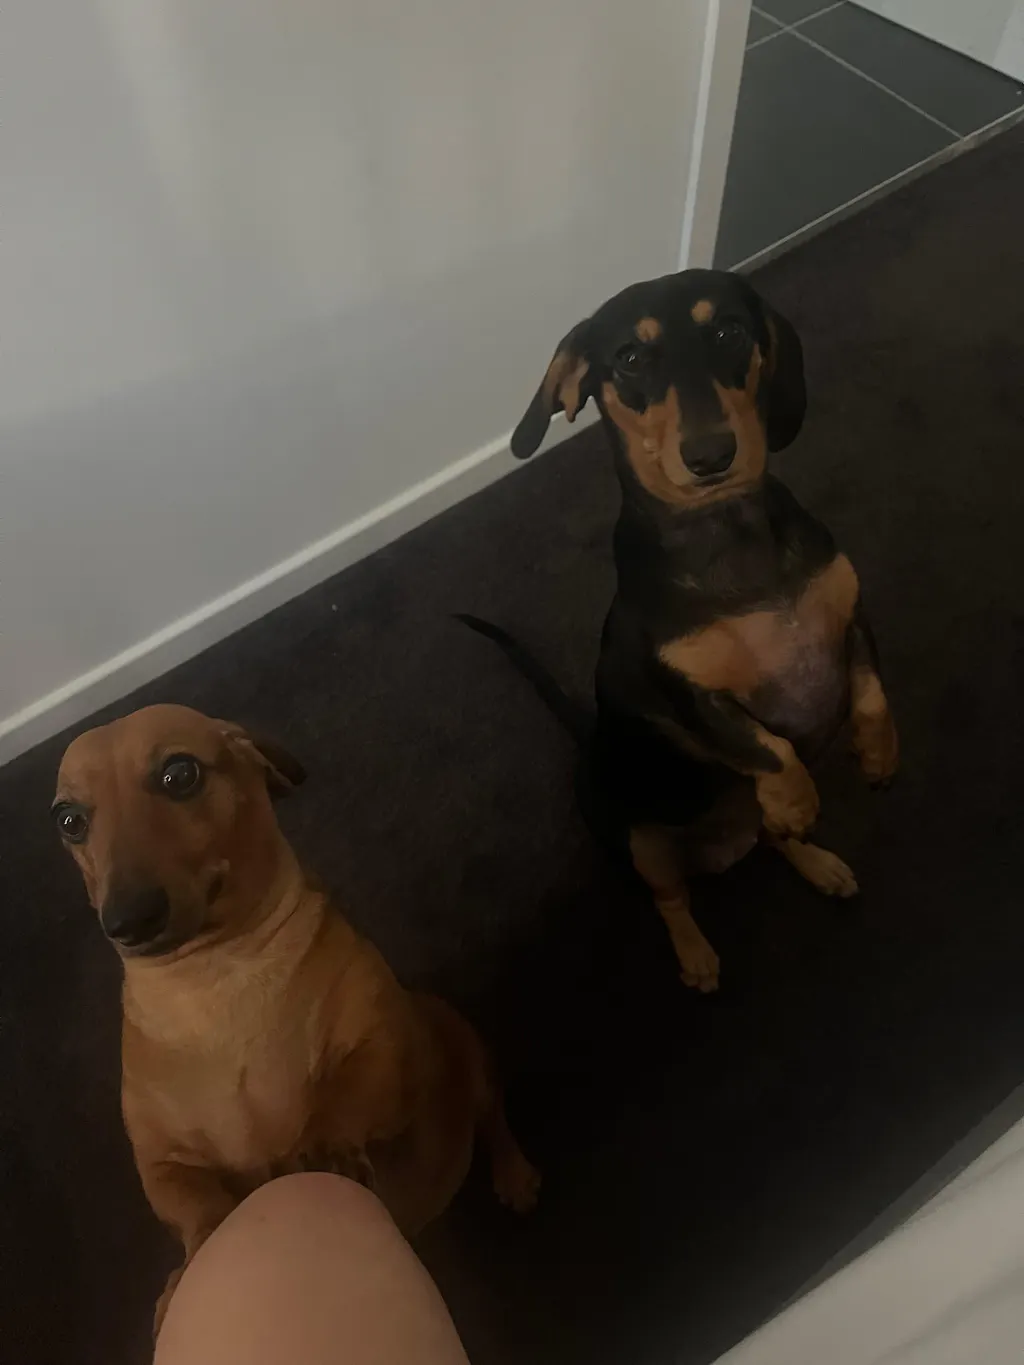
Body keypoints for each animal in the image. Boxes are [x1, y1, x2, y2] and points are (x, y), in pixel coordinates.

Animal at [53, 705, 539, 1331]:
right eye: (69, 820)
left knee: (495, 1120)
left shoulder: (383, 1050)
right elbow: (196, 1206)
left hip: (471, 1058)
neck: (213, 983)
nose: (127, 920)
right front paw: (193, 1264)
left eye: (179, 774)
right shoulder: (164, 1162)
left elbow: (347, 1093)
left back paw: (516, 1176)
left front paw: (323, 1144)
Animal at [462, 268, 898, 993]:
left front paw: (877, 756)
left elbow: (871, 694)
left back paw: (817, 863)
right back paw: (696, 953)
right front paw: (797, 794)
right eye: (630, 359)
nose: (710, 455)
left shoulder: (851, 619)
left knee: (776, 842)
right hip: (642, 843)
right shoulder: (692, 697)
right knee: (672, 899)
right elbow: (767, 747)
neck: (729, 537)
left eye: (728, 330)